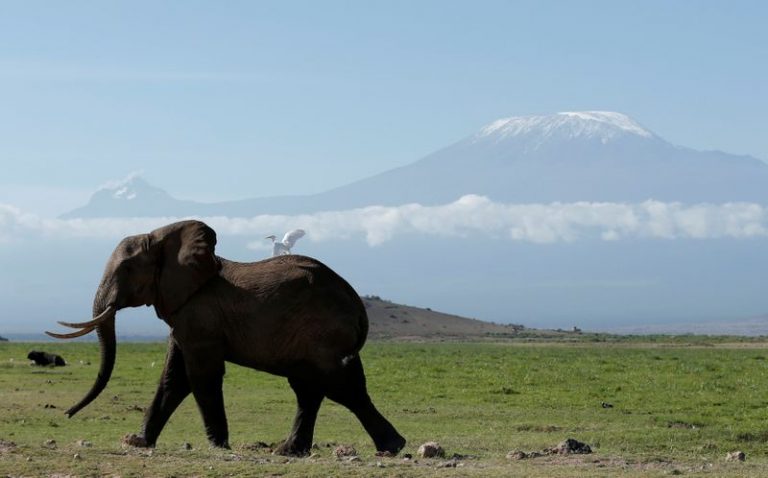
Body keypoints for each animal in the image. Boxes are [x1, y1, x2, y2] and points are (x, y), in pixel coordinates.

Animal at [46, 220, 405, 456]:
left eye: (126, 269)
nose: (67, 415)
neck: (163, 239)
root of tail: (358, 305)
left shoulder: (199, 316)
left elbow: (199, 375)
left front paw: (218, 445)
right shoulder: (185, 316)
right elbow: (173, 378)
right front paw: (137, 442)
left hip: (323, 333)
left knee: (339, 384)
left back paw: (391, 447)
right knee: (312, 388)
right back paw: (289, 450)